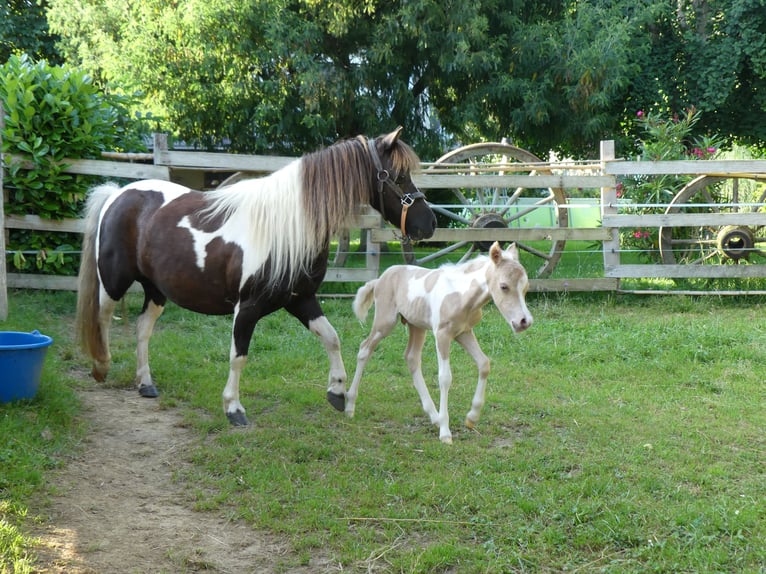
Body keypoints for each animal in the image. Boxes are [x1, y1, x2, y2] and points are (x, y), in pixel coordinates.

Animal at [75, 127, 436, 425]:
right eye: (398, 175)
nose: (429, 224)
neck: (287, 228)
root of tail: (117, 194)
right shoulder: (246, 309)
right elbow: (239, 356)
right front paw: (233, 408)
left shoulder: (301, 300)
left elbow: (331, 338)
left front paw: (336, 391)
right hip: (113, 282)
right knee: (102, 318)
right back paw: (101, 367)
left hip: (156, 290)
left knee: (143, 330)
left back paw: (146, 383)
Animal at [345, 241, 532, 443]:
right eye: (504, 286)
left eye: (526, 287)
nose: (524, 322)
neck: (461, 295)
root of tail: (380, 279)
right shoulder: (442, 335)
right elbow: (445, 377)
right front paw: (445, 432)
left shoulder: (464, 332)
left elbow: (484, 364)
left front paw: (472, 417)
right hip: (384, 322)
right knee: (365, 349)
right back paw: (349, 406)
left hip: (416, 326)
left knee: (411, 358)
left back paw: (433, 416)